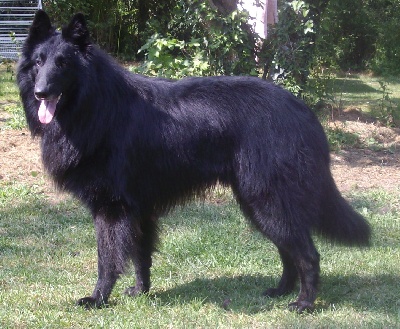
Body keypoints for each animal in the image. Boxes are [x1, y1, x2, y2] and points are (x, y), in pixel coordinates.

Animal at [16, 10, 372, 312]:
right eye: (38, 62)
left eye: (63, 63)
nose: (40, 92)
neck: (95, 106)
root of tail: (303, 112)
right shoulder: (138, 210)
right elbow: (140, 254)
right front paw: (141, 292)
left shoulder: (112, 209)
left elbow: (108, 259)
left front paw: (98, 298)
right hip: (257, 204)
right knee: (289, 251)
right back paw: (281, 291)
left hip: (268, 201)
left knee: (308, 255)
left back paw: (304, 303)